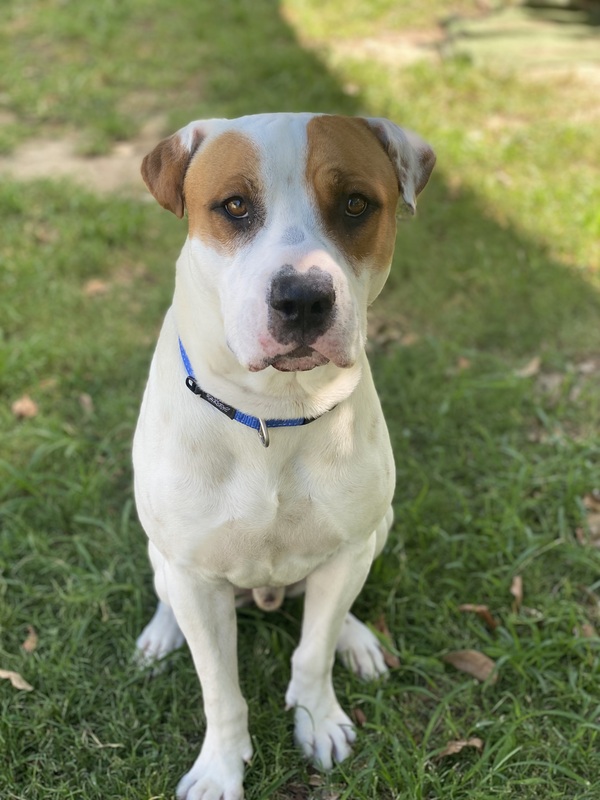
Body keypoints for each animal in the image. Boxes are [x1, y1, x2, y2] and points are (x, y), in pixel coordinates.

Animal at [133, 112, 434, 800]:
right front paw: (220, 767)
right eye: (234, 206)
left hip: (378, 528)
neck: (273, 413)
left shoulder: (347, 550)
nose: (302, 299)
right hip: (164, 555)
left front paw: (318, 718)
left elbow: (312, 651)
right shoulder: (195, 574)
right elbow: (221, 688)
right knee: (165, 588)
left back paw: (356, 637)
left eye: (356, 204)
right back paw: (161, 634)